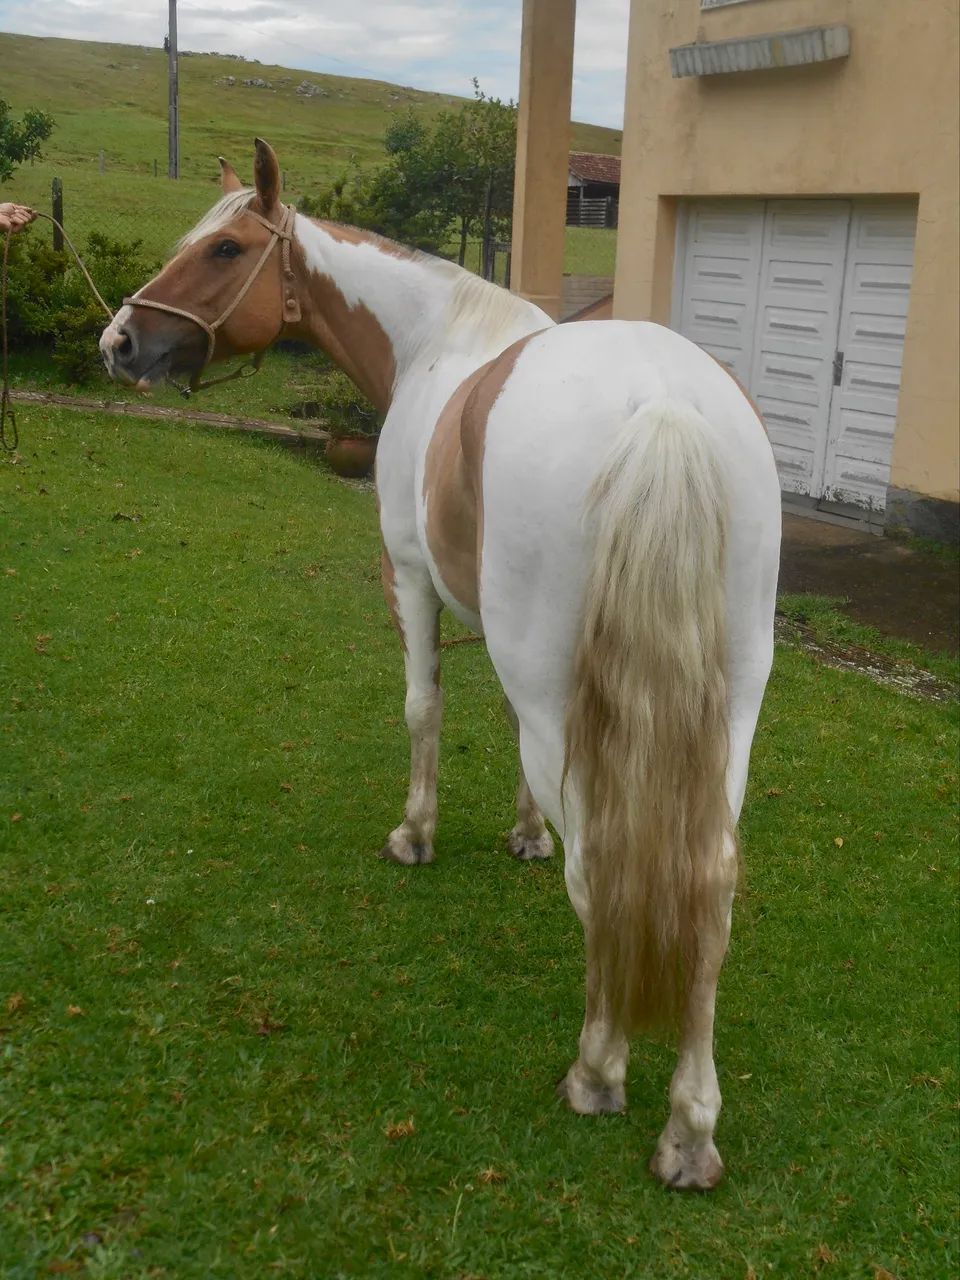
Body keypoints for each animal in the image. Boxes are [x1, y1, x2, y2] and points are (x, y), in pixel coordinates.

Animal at [99, 139, 781, 1190]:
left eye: (223, 249)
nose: (120, 343)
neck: (434, 346)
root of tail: (659, 405)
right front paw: (523, 833)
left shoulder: (411, 583)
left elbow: (424, 711)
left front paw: (415, 835)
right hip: (728, 709)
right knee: (709, 883)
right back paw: (690, 1130)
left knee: (602, 871)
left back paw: (598, 1071)